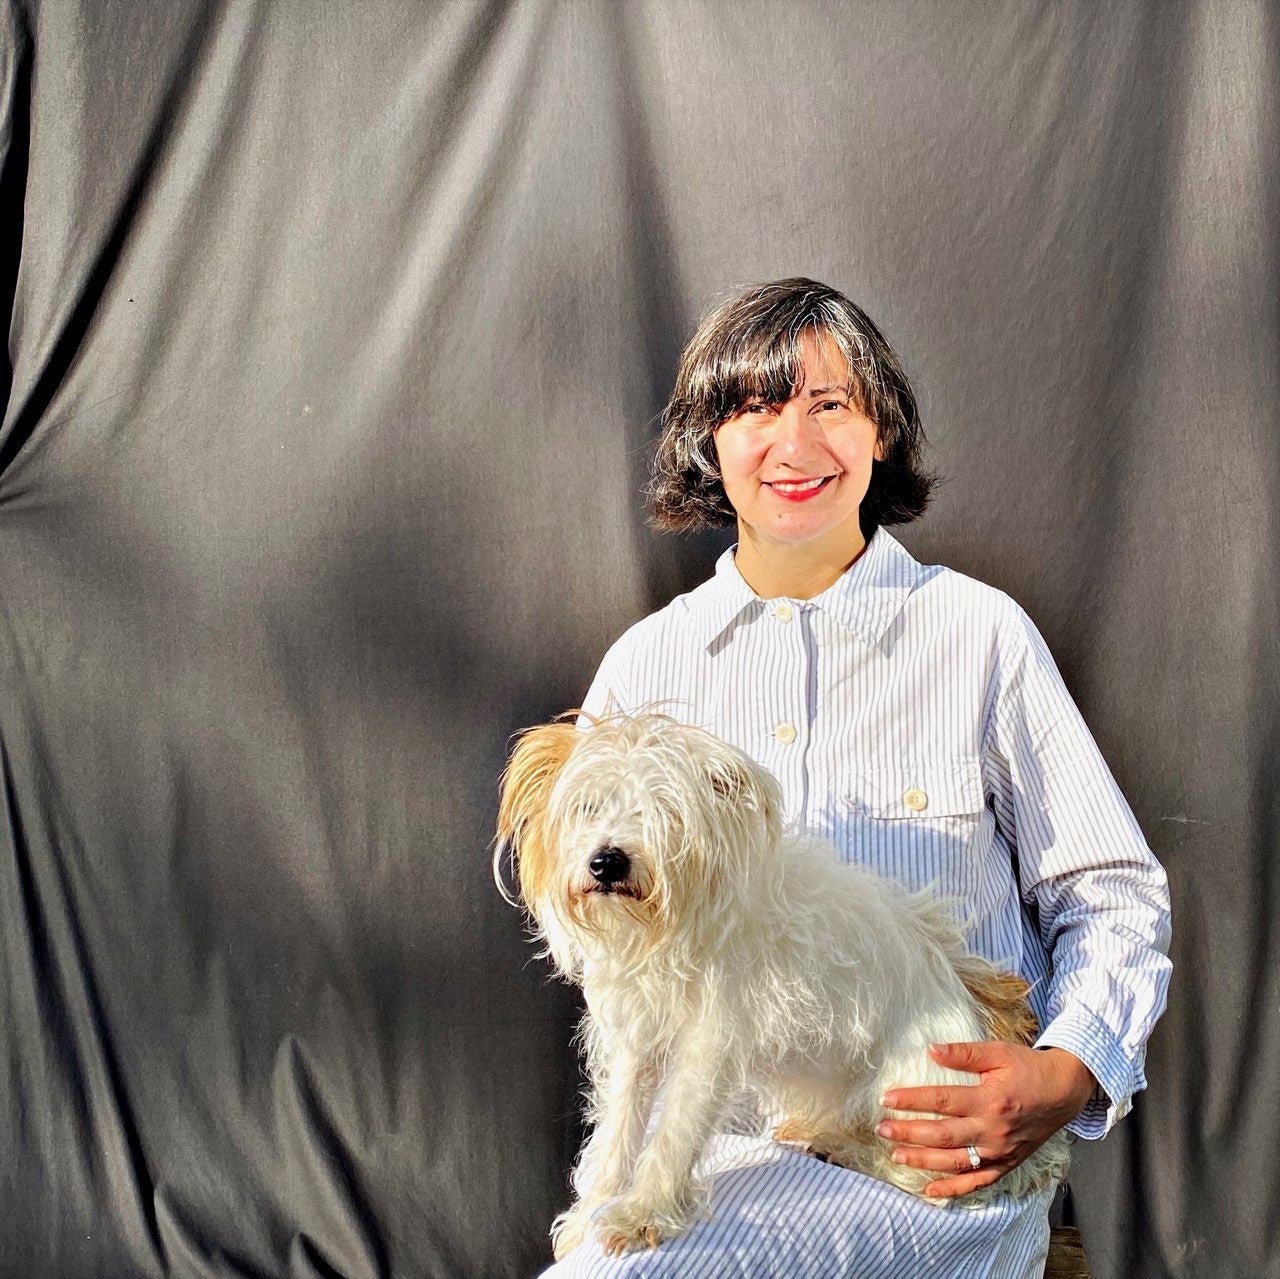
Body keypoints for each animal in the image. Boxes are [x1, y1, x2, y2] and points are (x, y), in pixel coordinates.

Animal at [494, 722, 1075, 1259]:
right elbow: (619, 1128)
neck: (671, 928)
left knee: (932, 1183)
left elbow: (675, 1128)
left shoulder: (711, 1044)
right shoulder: (638, 1041)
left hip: (917, 1102)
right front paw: (592, 1210)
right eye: (586, 808)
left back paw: (849, 1152)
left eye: (665, 813)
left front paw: (642, 1213)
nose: (607, 860)